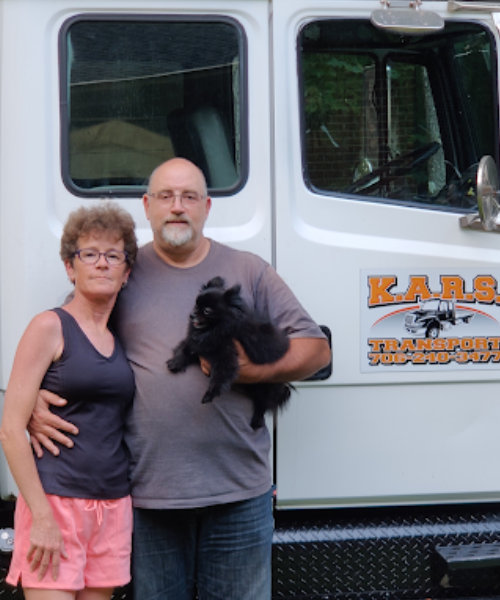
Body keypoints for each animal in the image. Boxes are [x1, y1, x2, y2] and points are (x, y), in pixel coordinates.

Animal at [168, 276, 292, 426]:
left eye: (207, 310)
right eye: (196, 304)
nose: (191, 315)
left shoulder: (225, 354)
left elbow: (220, 375)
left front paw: (210, 393)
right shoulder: (196, 343)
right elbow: (185, 349)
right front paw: (176, 362)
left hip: (264, 387)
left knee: (263, 403)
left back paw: (257, 420)